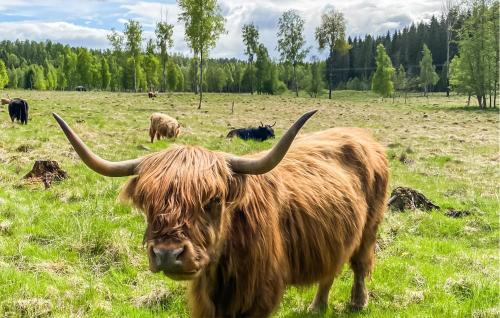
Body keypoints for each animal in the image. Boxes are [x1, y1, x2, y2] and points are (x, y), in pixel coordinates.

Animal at [54, 110, 390, 318]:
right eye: (148, 202)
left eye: (213, 200)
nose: (167, 254)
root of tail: (364, 137)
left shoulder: (261, 296)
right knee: (330, 270)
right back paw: (317, 307)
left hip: (370, 228)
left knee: (360, 265)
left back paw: (358, 303)